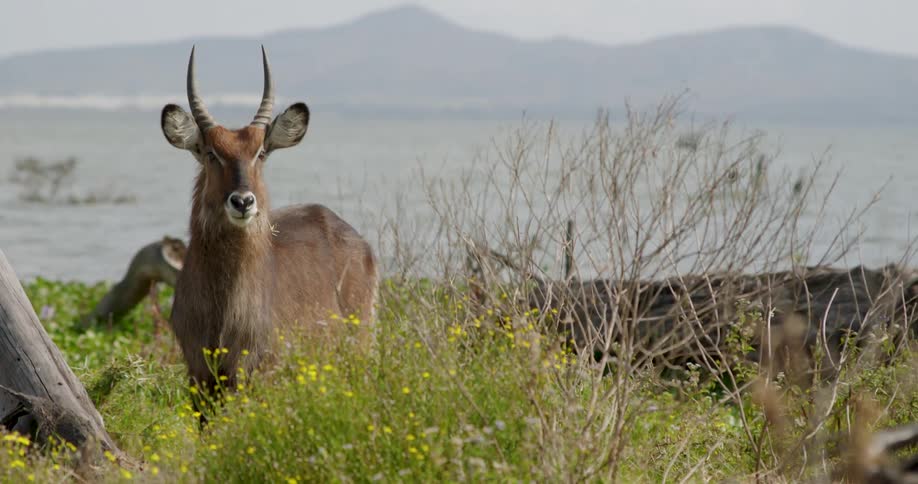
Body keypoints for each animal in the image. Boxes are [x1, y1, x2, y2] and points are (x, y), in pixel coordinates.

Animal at [160, 46, 378, 399]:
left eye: (260, 152)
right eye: (211, 153)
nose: (243, 201)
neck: (224, 307)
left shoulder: (255, 373)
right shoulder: (198, 375)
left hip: (359, 345)